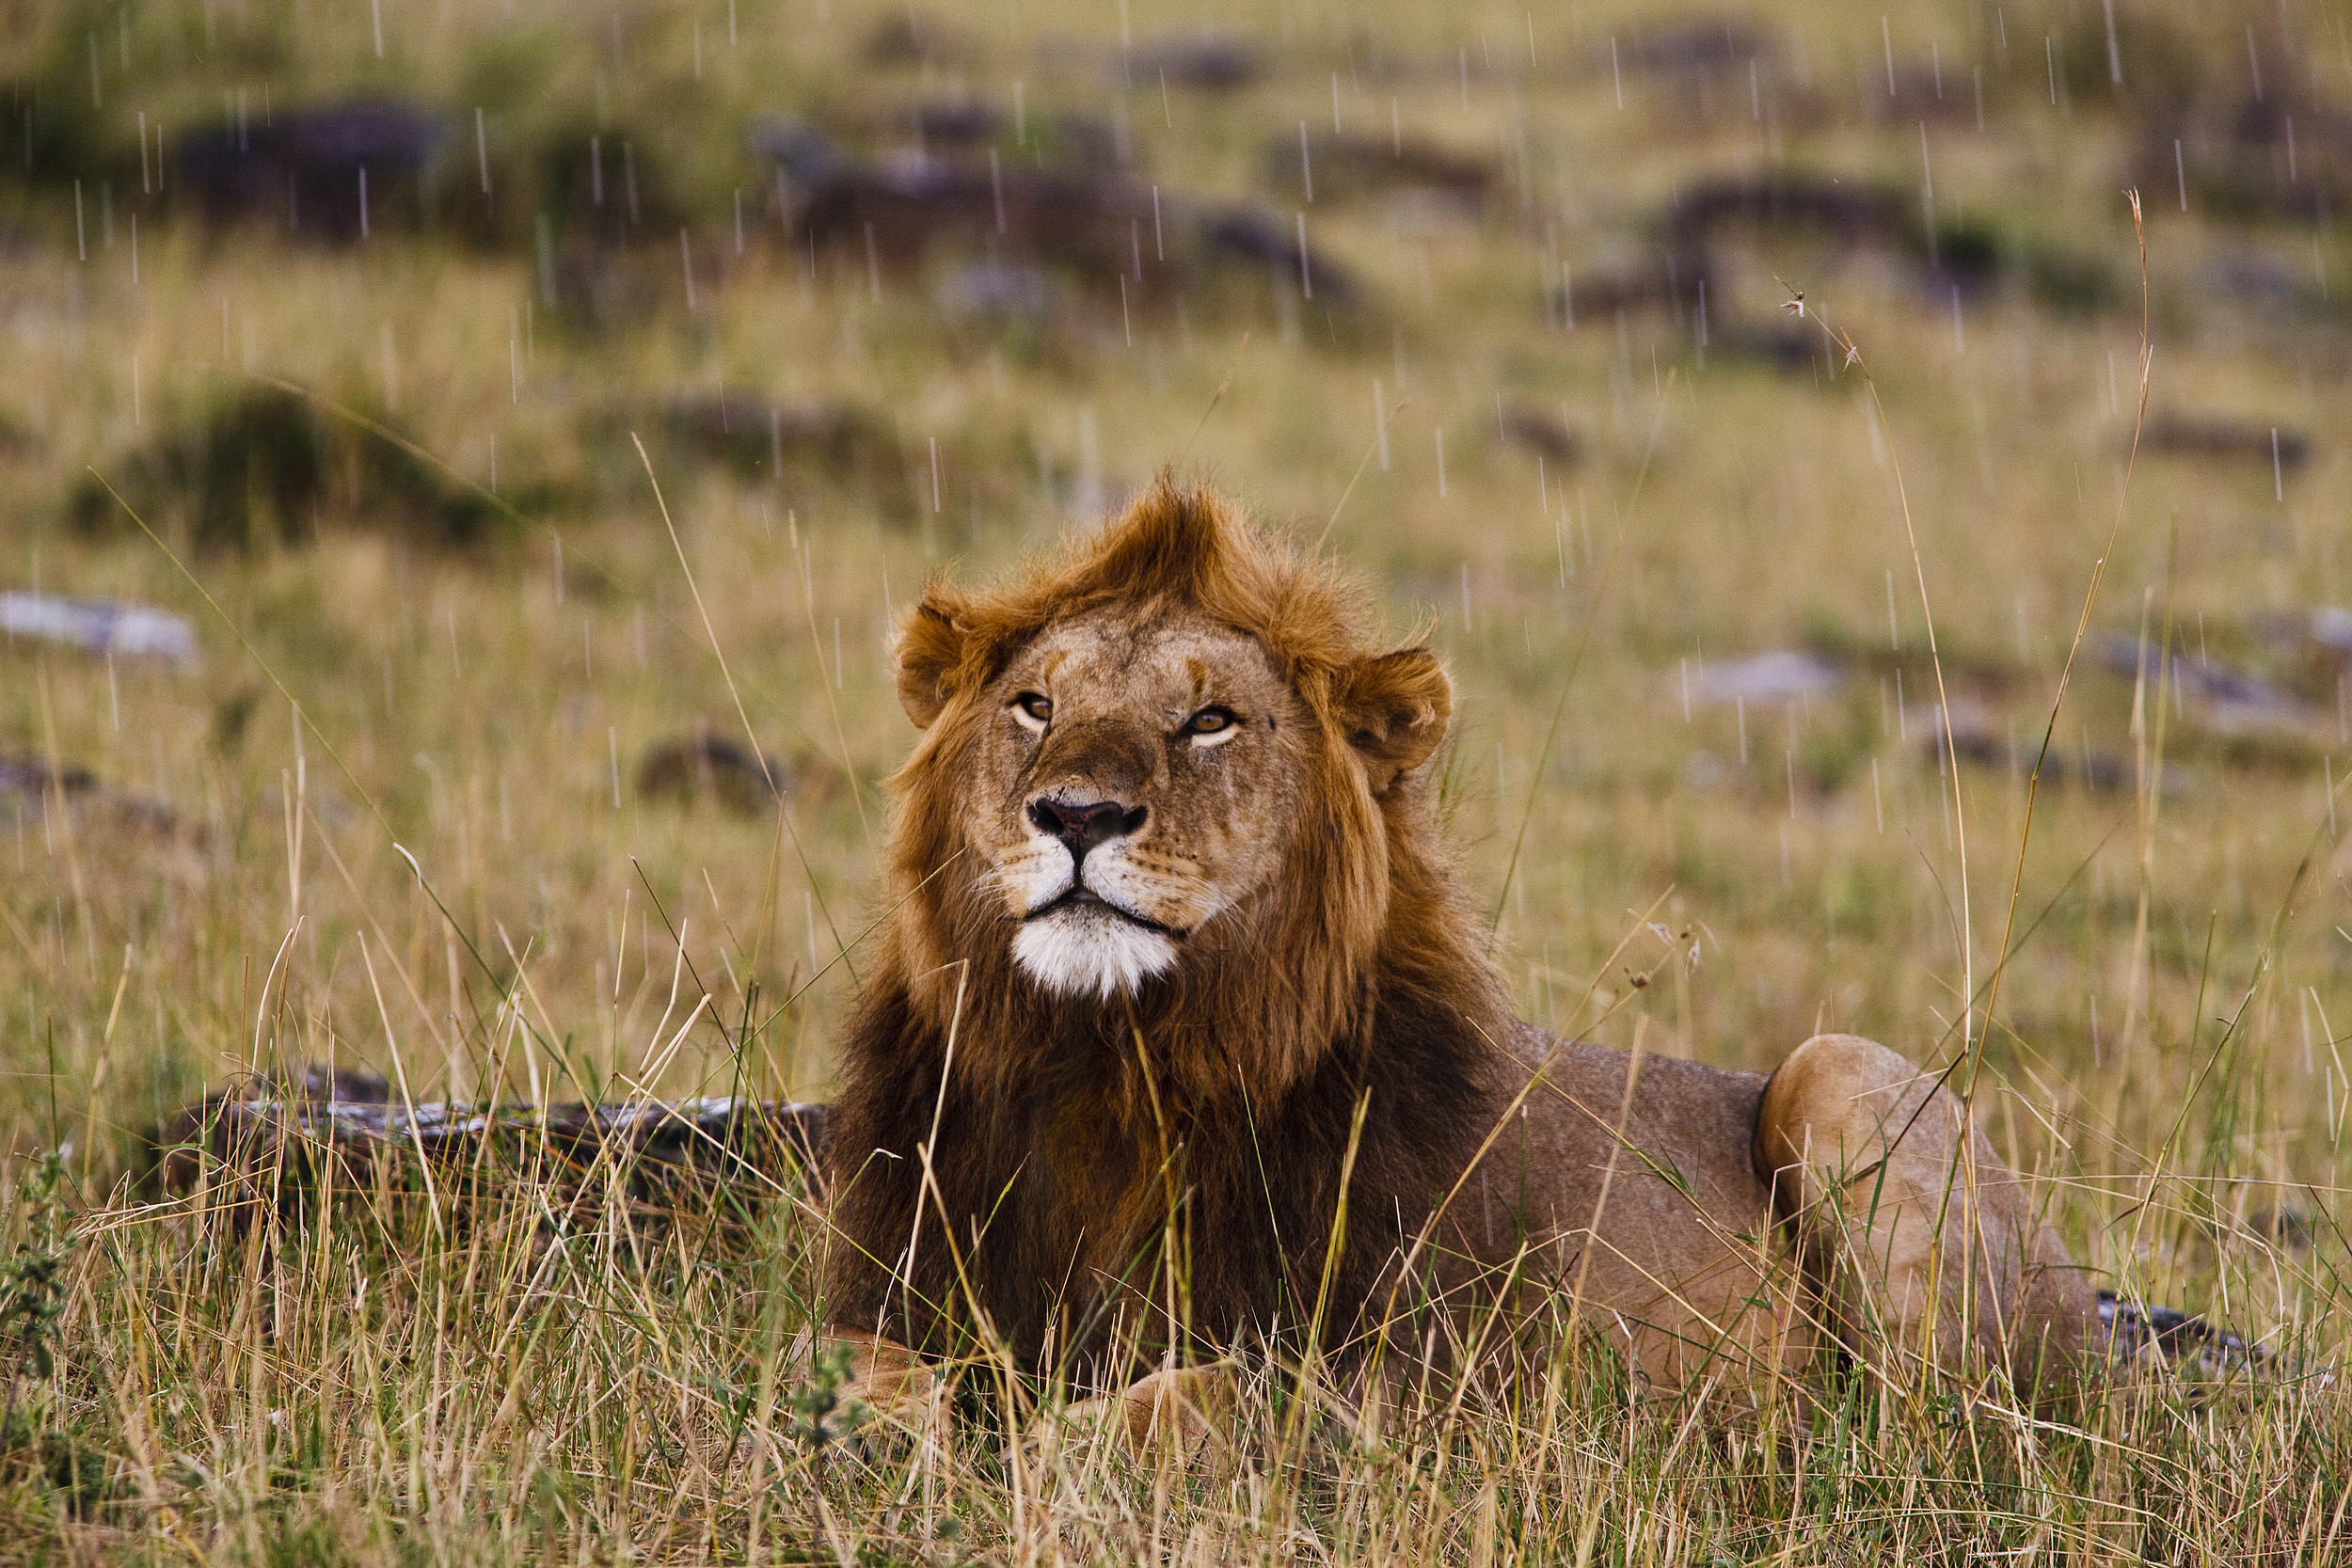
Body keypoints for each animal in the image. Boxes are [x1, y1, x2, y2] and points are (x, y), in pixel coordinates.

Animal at [814, 479, 2098, 1448]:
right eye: (1034, 704)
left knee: (1945, 1432)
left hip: (1838, 1076)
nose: (1076, 813)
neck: (1113, 1063)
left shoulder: (1436, 1384)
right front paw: (903, 1423)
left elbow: (1195, 1397)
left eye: (1210, 720)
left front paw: (1042, 1443)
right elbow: (848, 1361)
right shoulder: (913, 1280)